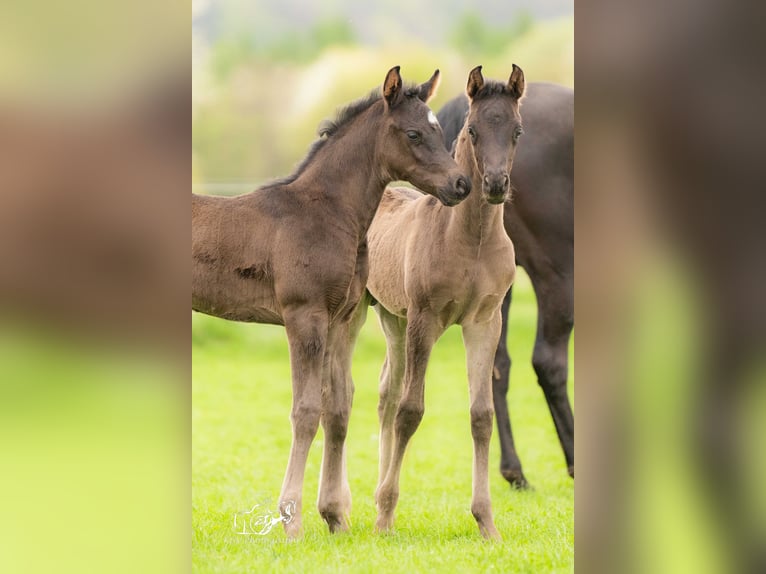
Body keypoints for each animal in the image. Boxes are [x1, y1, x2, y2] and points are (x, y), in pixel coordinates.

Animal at [192, 66, 471, 537]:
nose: (461, 184)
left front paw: (335, 516)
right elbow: (305, 410)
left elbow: (336, 409)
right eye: (414, 133)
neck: (327, 215)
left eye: (439, 129)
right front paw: (291, 521)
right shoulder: (304, 316)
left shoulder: (341, 318)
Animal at [357, 65, 526, 539]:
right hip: (376, 314)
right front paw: (385, 518)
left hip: (392, 319)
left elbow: (481, 415)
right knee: (384, 397)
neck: (472, 240)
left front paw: (487, 522)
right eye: (472, 129)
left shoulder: (485, 322)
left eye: (517, 131)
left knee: (386, 390)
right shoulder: (425, 318)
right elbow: (412, 411)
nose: (494, 185)